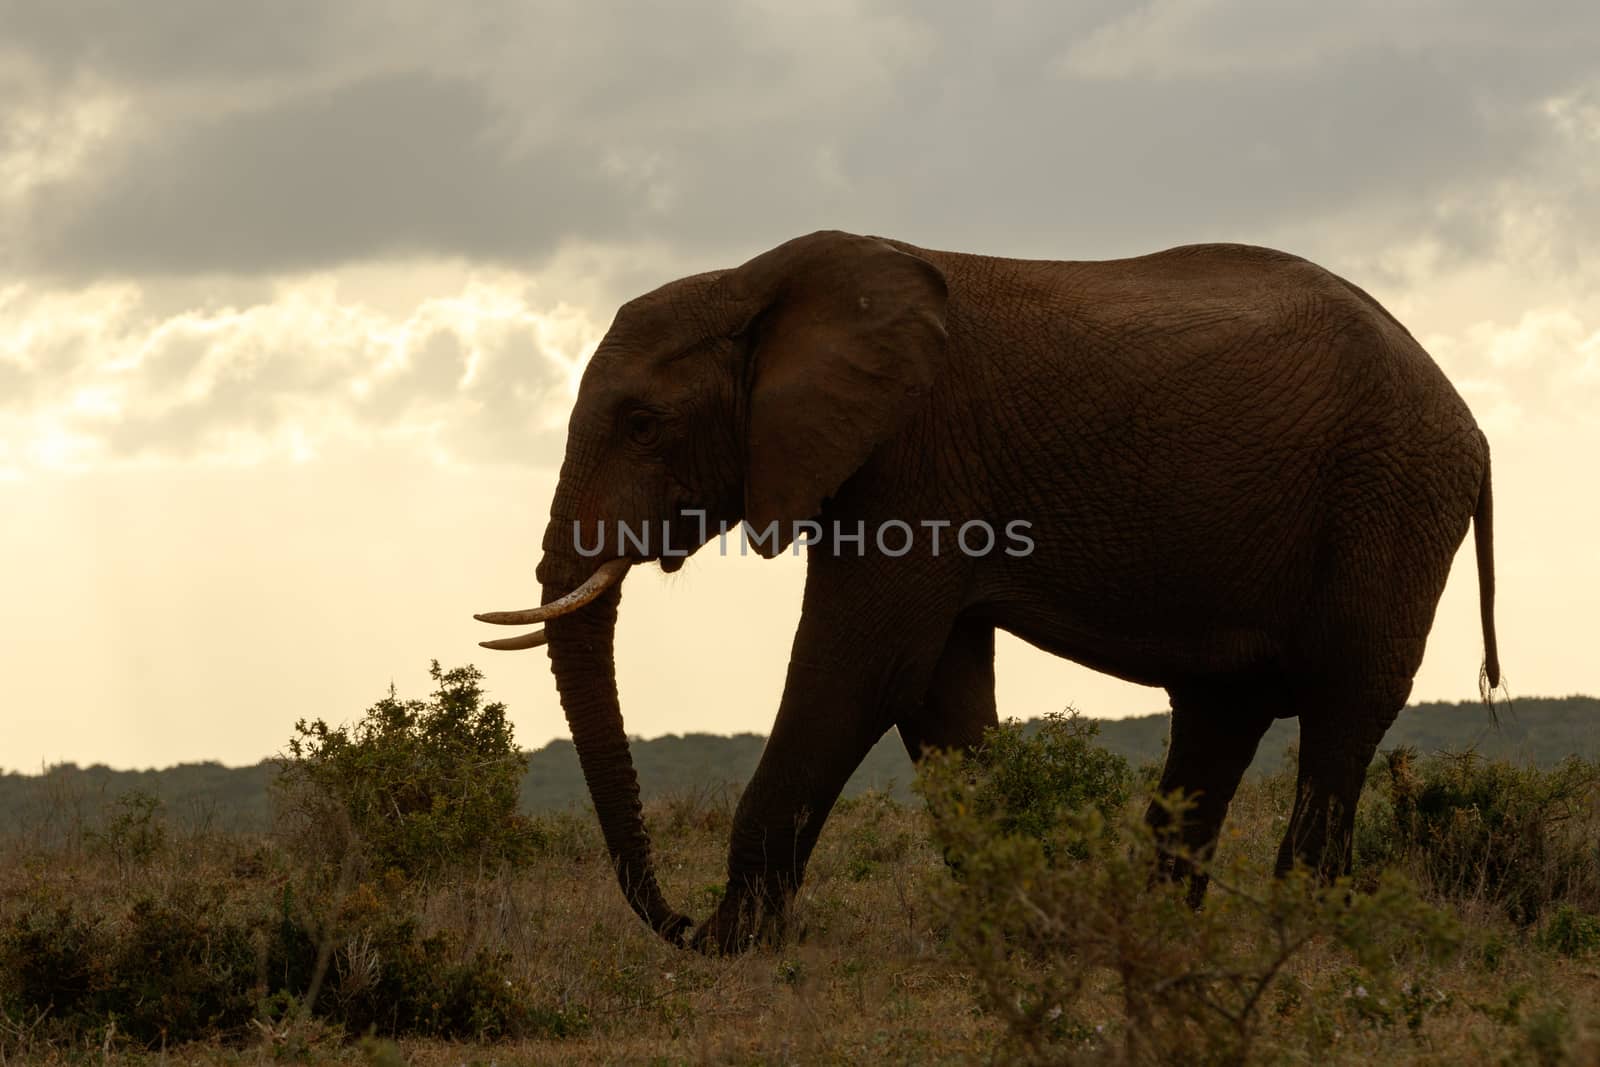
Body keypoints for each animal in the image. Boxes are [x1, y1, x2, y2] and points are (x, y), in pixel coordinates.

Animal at [473, 231, 1497, 953]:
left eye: (643, 422)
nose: (677, 922)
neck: (755, 281)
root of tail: (1471, 422)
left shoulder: (912, 458)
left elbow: (860, 671)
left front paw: (732, 949)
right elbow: (937, 692)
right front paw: (1024, 925)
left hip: (1389, 499)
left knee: (1339, 710)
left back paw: (1304, 934)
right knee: (1220, 715)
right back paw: (1162, 931)